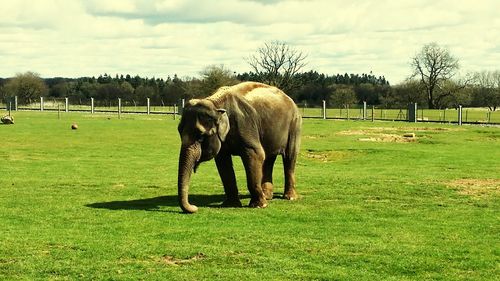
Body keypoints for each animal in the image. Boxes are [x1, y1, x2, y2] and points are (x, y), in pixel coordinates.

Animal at [176, 81, 300, 212]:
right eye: (179, 131)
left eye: (200, 136)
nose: (194, 207)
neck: (215, 103)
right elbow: (223, 163)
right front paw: (230, 204)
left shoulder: (246, 125)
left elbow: (256, 154)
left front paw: (259, 205)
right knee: (269, 159)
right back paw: (267, 195)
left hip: (295, 124)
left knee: (290, 157)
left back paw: (289, 197)